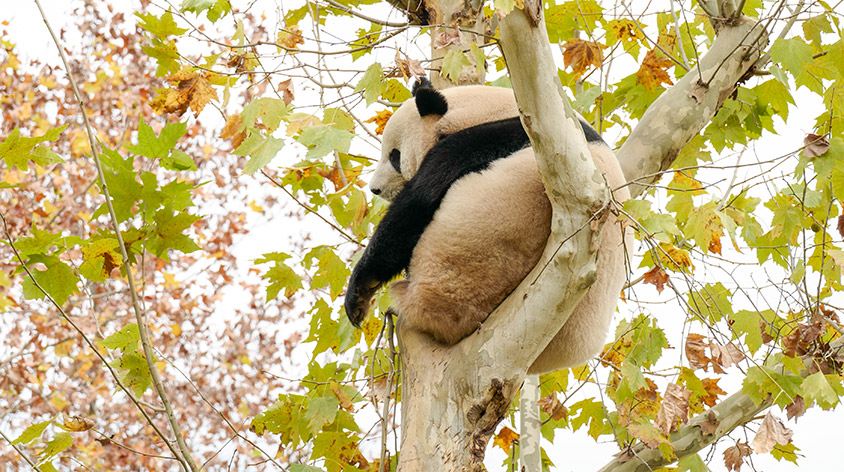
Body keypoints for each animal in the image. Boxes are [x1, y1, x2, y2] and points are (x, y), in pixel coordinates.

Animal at [342, 79, 628, 374]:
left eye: (395, 156)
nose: (375, 189)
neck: (486, 108)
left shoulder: (486, 140)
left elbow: (416, 203)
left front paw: (359, 292)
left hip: (463, 271)